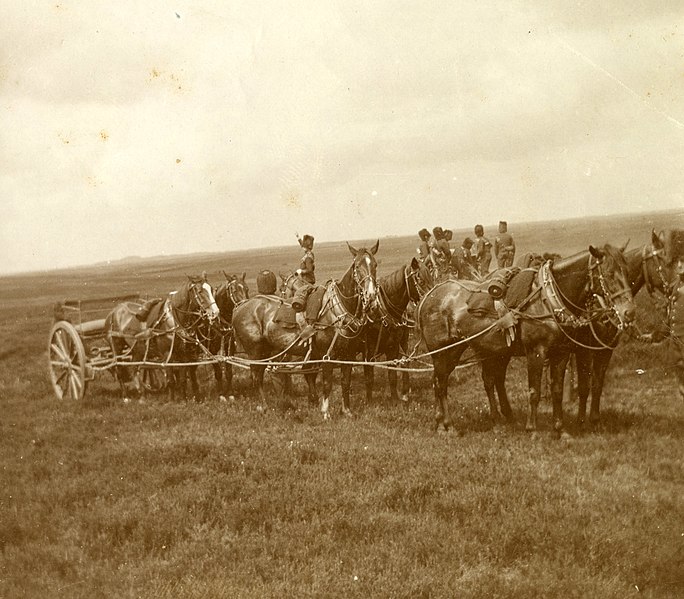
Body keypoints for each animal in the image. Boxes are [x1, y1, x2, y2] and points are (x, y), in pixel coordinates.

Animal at [105, 276, 220, 404]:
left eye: (211, 289)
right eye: (200, 291)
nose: (215, 312)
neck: (175, 320)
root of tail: (113, 312)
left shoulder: (184, 354)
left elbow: (183, 379)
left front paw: (184, 399)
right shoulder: (167, 354)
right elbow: (171, 380)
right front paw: (171, 400)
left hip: (138, 349)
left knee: (134, 368)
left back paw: (142, 395)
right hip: (116, 347)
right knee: (119, 370)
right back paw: (125, 396)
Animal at [230, 241, 380, 420]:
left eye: (375, 265)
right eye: (357, 266)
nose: (371, 295)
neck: (337, 311)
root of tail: (240, 307)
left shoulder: (347, 356)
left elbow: (345, 382)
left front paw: (347, 411)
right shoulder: (327, 357)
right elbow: (327, 384)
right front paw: (325, 413)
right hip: (255, 352)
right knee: (256, 377)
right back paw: (263, 407)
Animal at [416, 244, 636, 436]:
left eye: (628, 272)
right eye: (609, 274)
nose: (629, 312)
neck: (548, 301)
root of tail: (430, 295)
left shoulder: (561, 353)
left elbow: (557, 390)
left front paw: (560, 430)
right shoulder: (536, 352)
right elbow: (534, 391)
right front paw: (533, 430)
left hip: (474, 349)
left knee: (463, 381)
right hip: (445, 351)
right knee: (441, 383)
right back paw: (448, 425)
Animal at [572, 232, 672, 428]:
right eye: (665, 263)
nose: (629, 312)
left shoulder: (606, 349)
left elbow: (597, 384)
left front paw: (595, 420)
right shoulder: (583, 350)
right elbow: (584, 386)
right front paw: (580, 421)